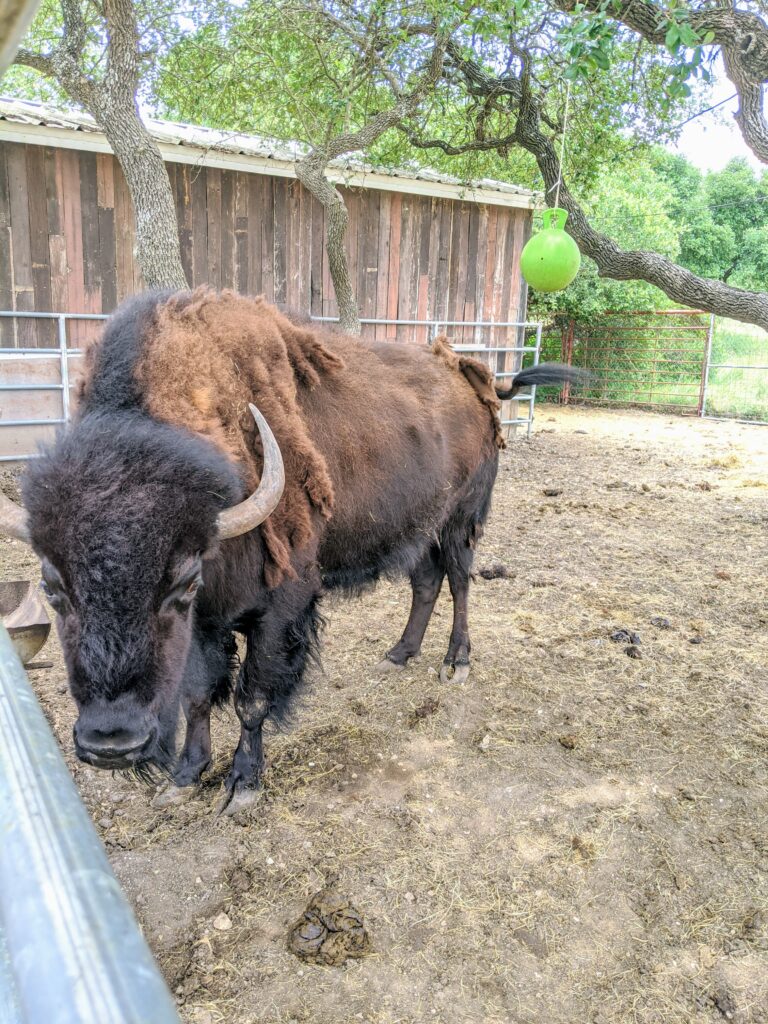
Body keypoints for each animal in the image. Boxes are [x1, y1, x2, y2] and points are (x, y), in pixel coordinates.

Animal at [0, 292, 577, 811]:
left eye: (182, 580)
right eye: (52, 586)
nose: (112, 742)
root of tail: (474, 378)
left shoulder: (279, 609)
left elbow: (251, 698)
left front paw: (242, 786)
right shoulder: (207, 623)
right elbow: (197, 694)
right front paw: (185, 776)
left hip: (461, 522)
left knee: (458, 581)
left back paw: (455, 663)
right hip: (417, 530)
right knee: (426, 582)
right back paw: (397, 655)